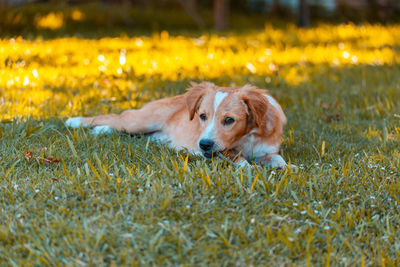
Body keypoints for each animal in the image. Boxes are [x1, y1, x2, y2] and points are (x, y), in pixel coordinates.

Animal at [65, 82, 288, 169]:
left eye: (229, 120)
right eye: (202, 116)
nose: (203, 145)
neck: (247, 137)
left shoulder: (267, 150)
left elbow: (278, 159)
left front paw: (288, 169)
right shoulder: (221, 151)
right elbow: (239, 159)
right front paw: (250, 169)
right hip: (139, 122)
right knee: (116, 117)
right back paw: (75, 121)